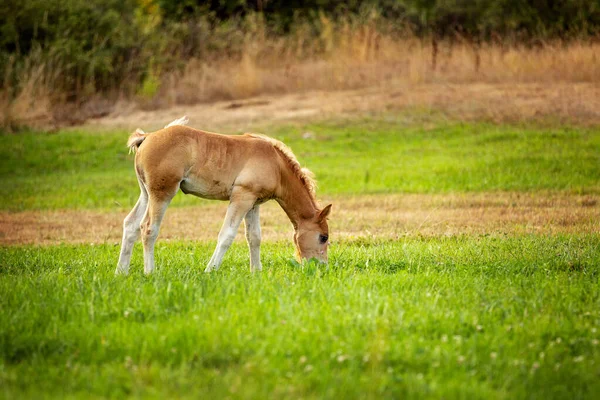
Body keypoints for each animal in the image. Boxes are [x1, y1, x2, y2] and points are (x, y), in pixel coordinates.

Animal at [116, 116, 332, 276]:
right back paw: (150, 272)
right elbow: (226, 235)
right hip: (162, 194)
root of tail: (147, 137)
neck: (276, 165)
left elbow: (254, 237)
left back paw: (121, 272)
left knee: (130, 224)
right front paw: (210, 270)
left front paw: (256, 272)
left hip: (146, 194)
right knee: (148, 228)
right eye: (323, 237)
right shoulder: (241, 198)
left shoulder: (253, 203)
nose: (321, 267)